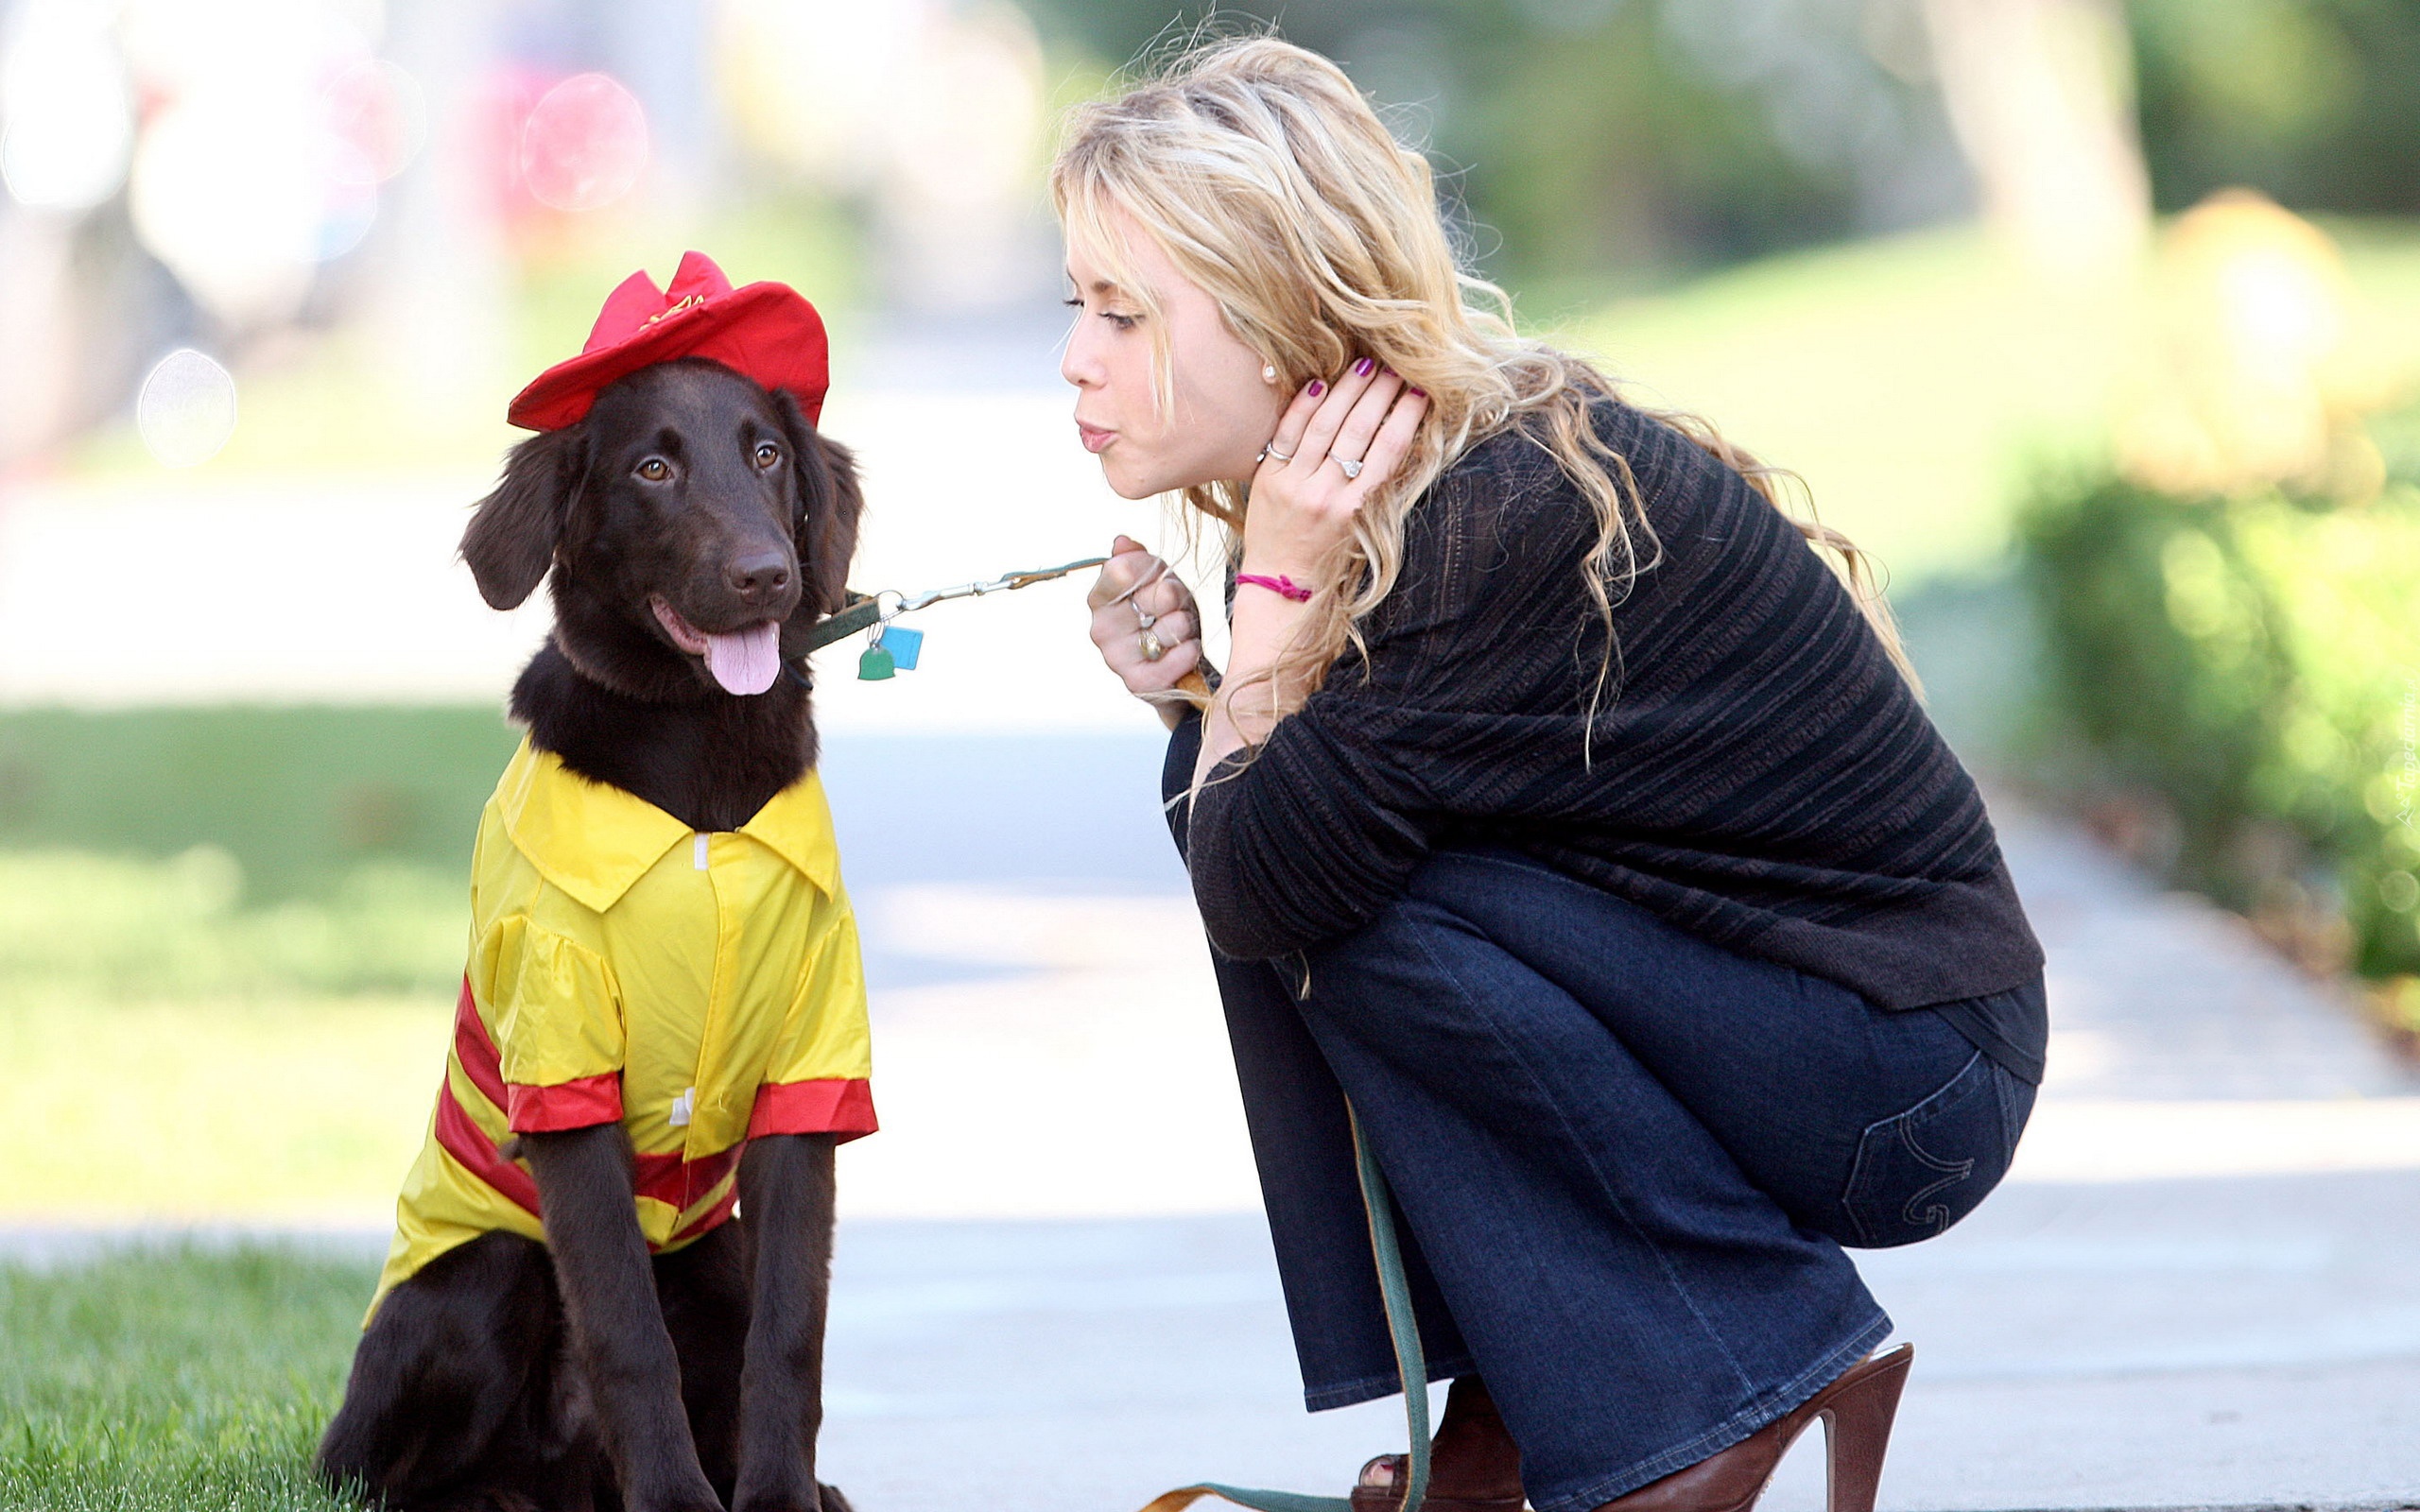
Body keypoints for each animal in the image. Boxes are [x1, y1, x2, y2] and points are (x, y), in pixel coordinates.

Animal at [319, 355, 871, 1509]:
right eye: (652, 468)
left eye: (766, 453)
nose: (765, 575)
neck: (702, 761)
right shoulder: (564, 1076)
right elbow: (623, 1329)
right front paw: (675, 1500)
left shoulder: (809, 1071)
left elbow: (792, 1332)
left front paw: (782, 1497)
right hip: (482, 1275)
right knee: (377, 1474)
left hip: (712, 1261)